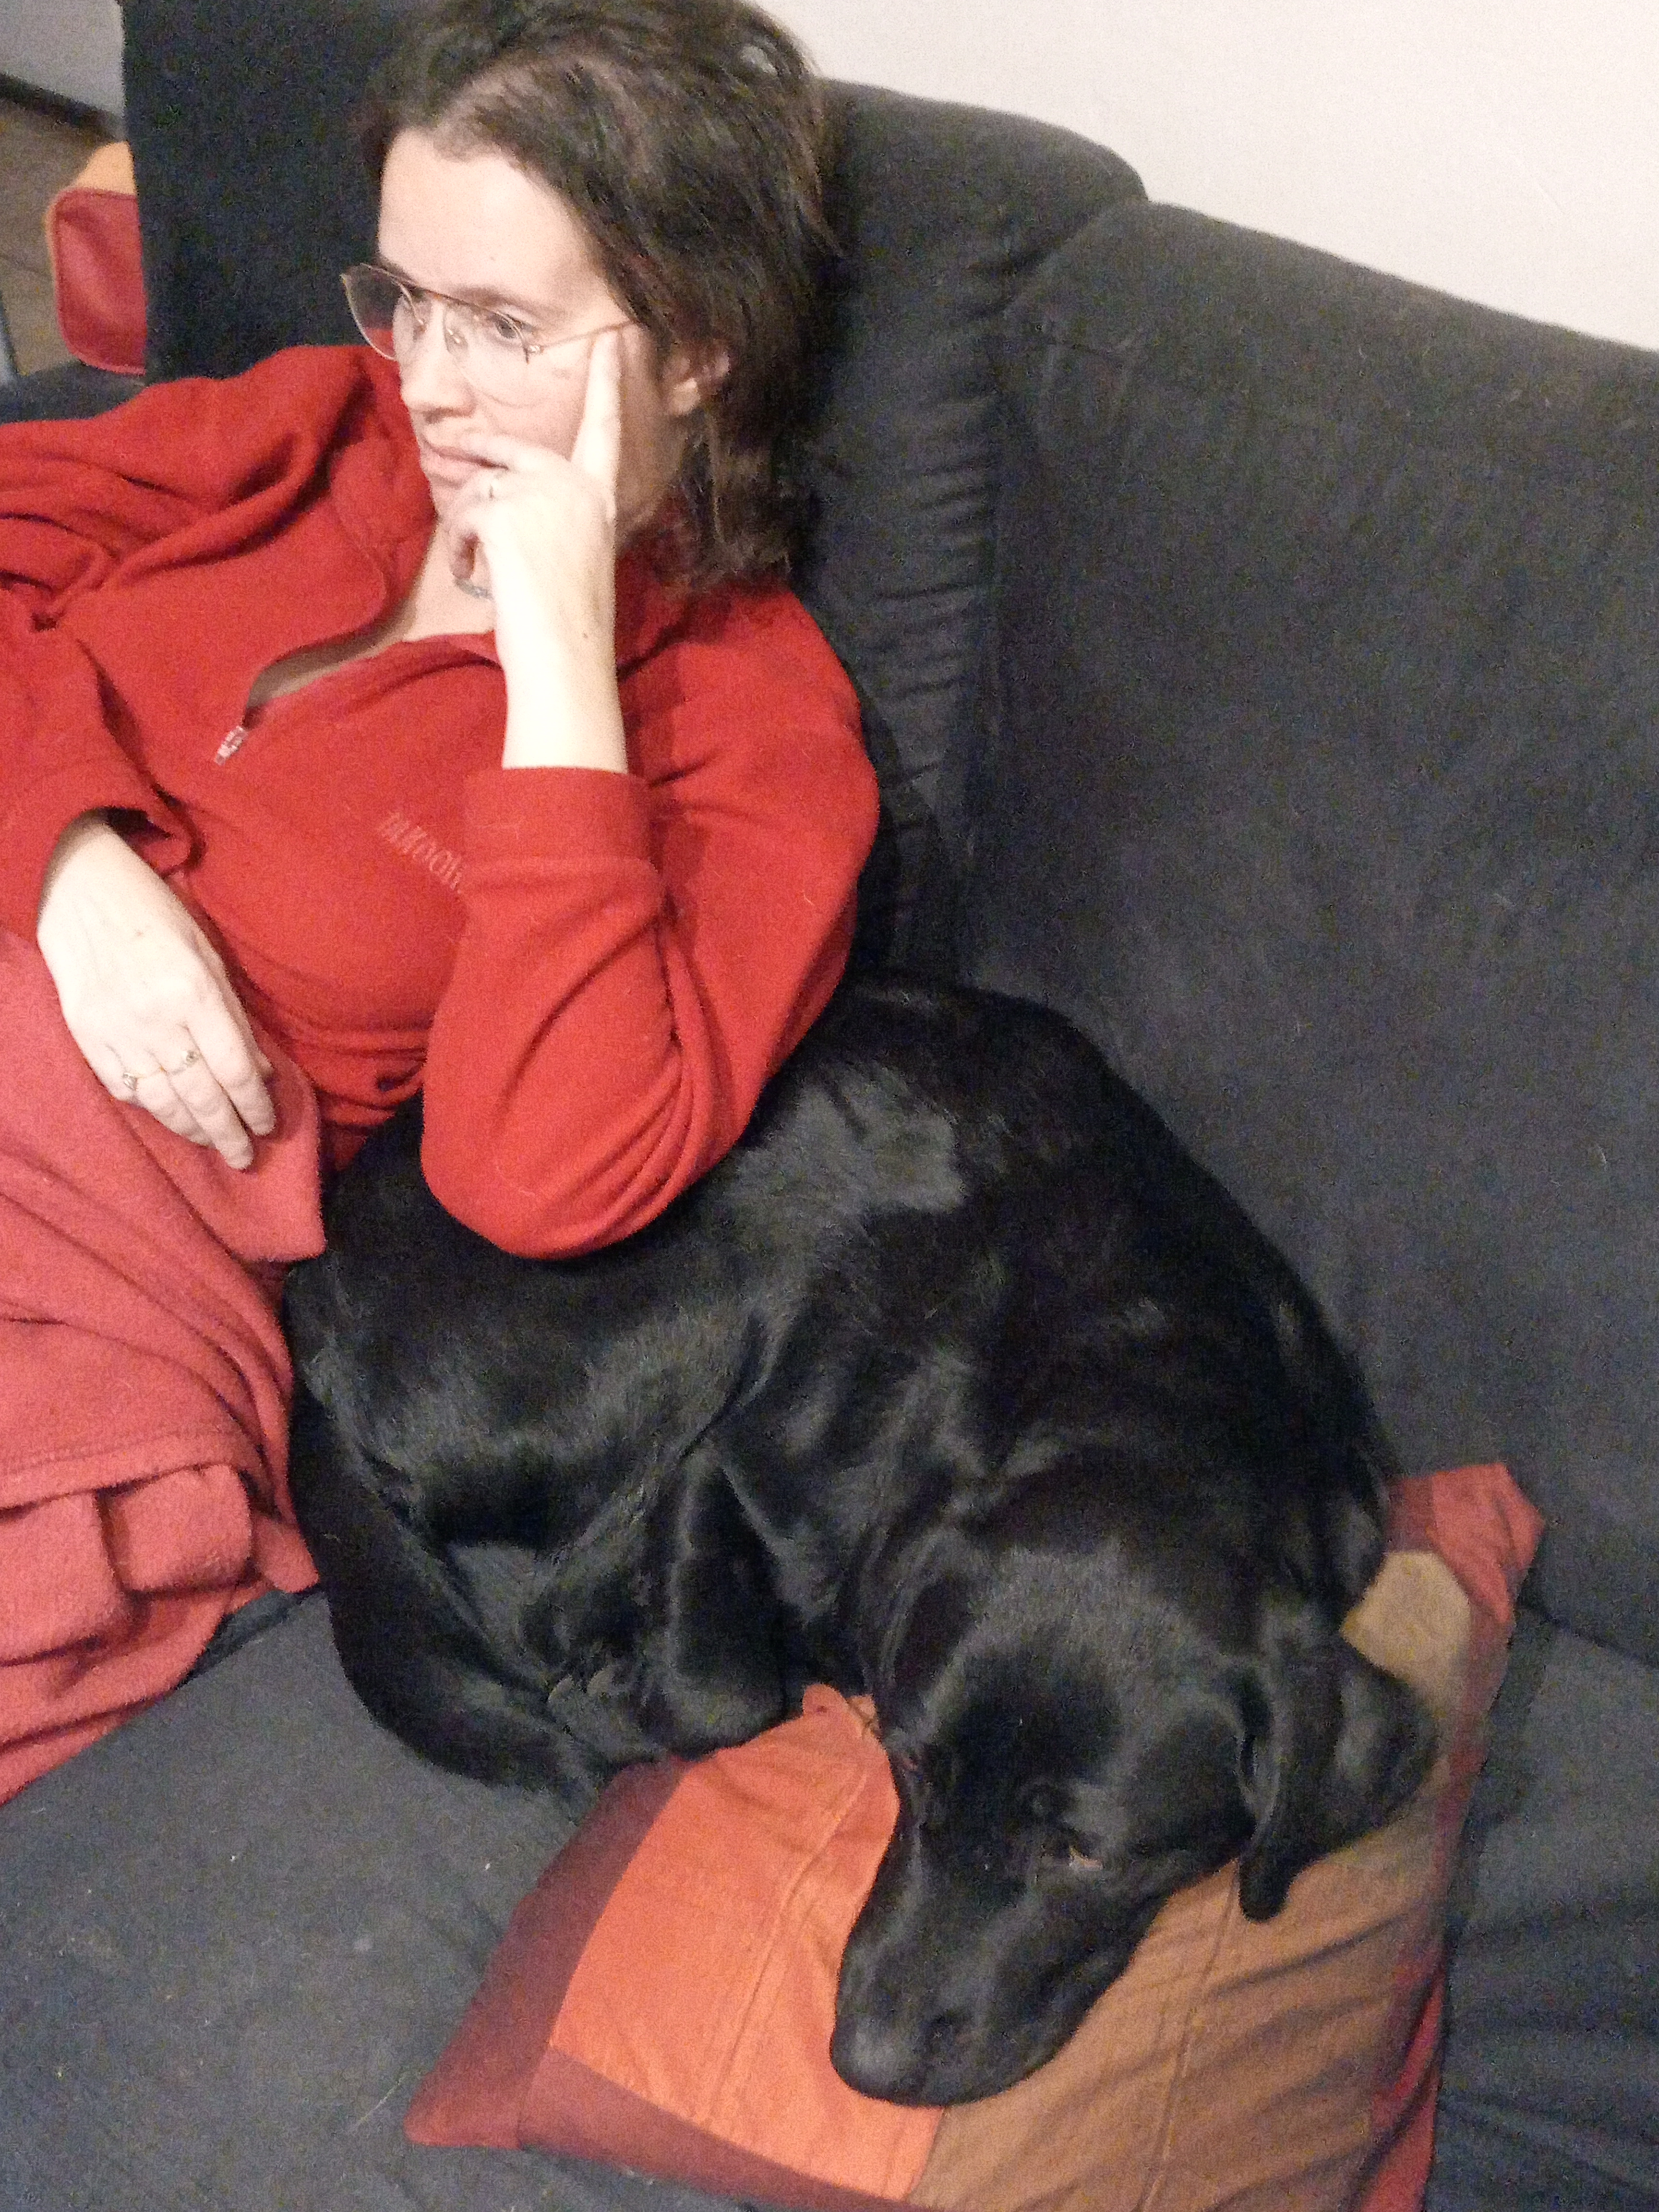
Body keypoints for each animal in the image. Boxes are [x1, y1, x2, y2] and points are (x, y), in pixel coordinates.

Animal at [283, 975, 1434, 2106]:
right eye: (910, 1762)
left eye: (1083, 1852)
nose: (862, 2062)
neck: (1144, 1398)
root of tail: (310, 1294)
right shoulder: (727, 1459)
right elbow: (722, 1693)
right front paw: (640, 1692)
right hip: (693, 1306)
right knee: (549, 1599)